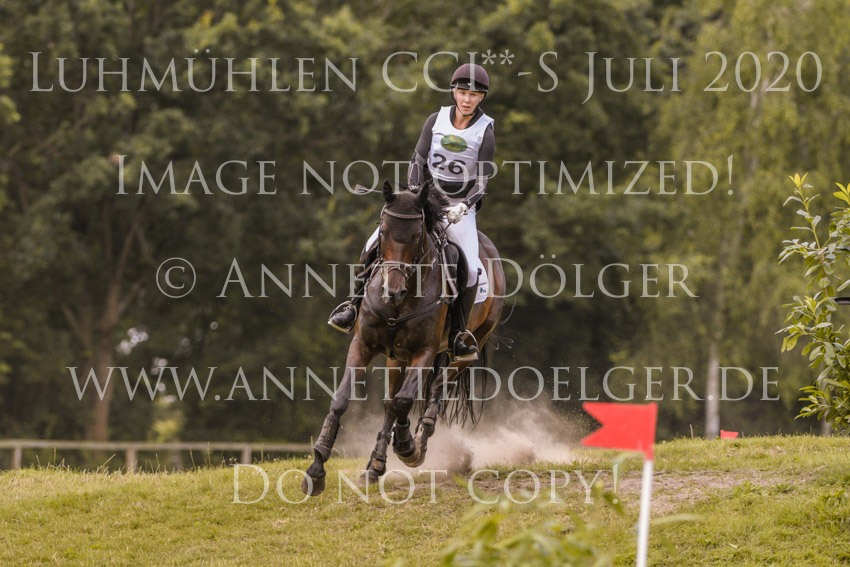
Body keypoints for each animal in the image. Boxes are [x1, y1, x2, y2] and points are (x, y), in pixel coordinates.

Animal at [301, 179, 506, 496]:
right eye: (383, 231)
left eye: (417, 235)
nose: (392, 291)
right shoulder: (363, 345)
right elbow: (342, 399)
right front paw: (316, 469)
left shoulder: (424, 352)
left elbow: (405, 400)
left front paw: (407, 446)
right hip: (396, 357)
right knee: (389, 402)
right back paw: (374, 468)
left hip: (465, 349)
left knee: (436, 389)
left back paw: (418, 442)